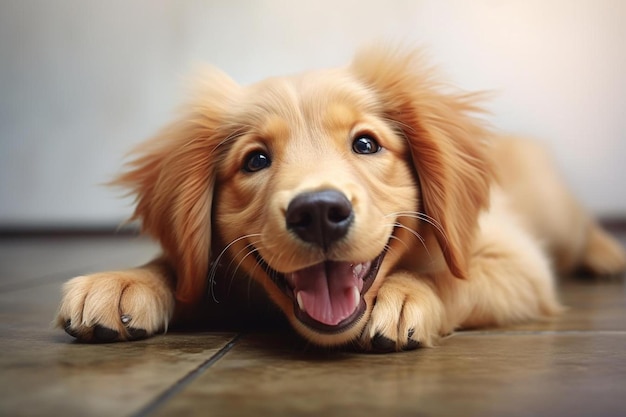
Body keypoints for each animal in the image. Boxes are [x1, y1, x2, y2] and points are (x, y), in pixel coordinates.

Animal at [54, 46, 624, 352]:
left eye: (366, 144)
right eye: (255, 160)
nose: (319, 212)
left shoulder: (519, 264)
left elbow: (448, 276)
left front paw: (406, 294)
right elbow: (178, 267)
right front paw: (124, 281)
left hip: (556, 215)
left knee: (581, 229)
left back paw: (608, 254)